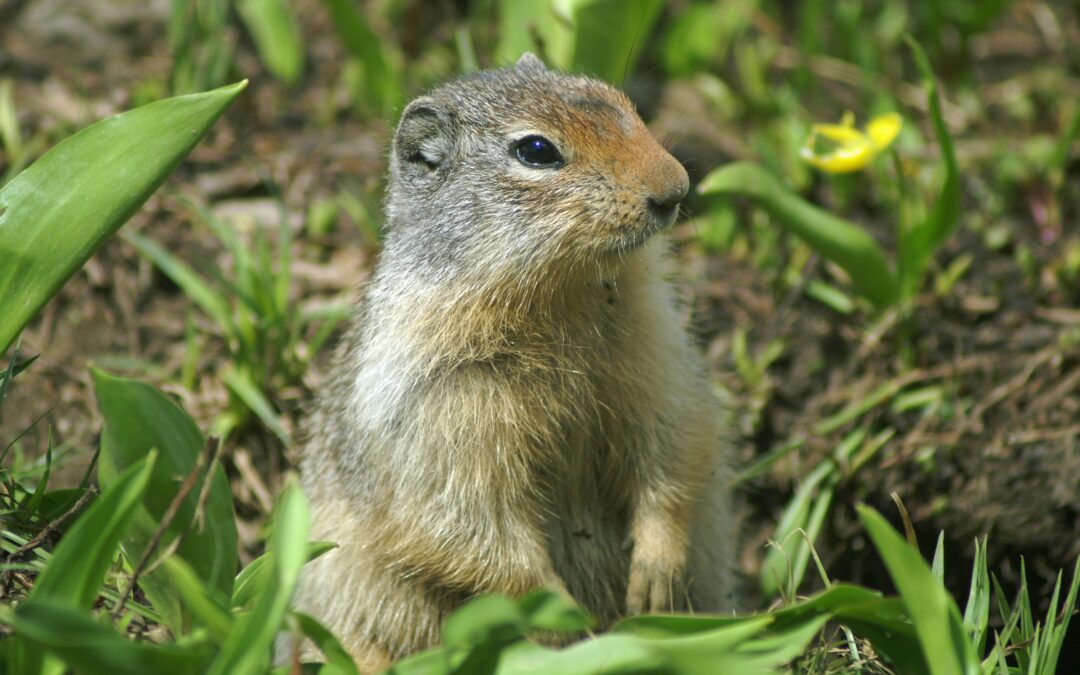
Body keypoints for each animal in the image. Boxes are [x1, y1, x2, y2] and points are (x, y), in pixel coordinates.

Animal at [291, 53, 736, 669]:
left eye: (619, 100)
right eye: (536, 150)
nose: (674, 188)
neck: (562, 301)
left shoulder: (657, 352)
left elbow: (675, 443)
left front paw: (654, 577)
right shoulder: (441, 410)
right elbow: (470, 525)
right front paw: (565, 620)